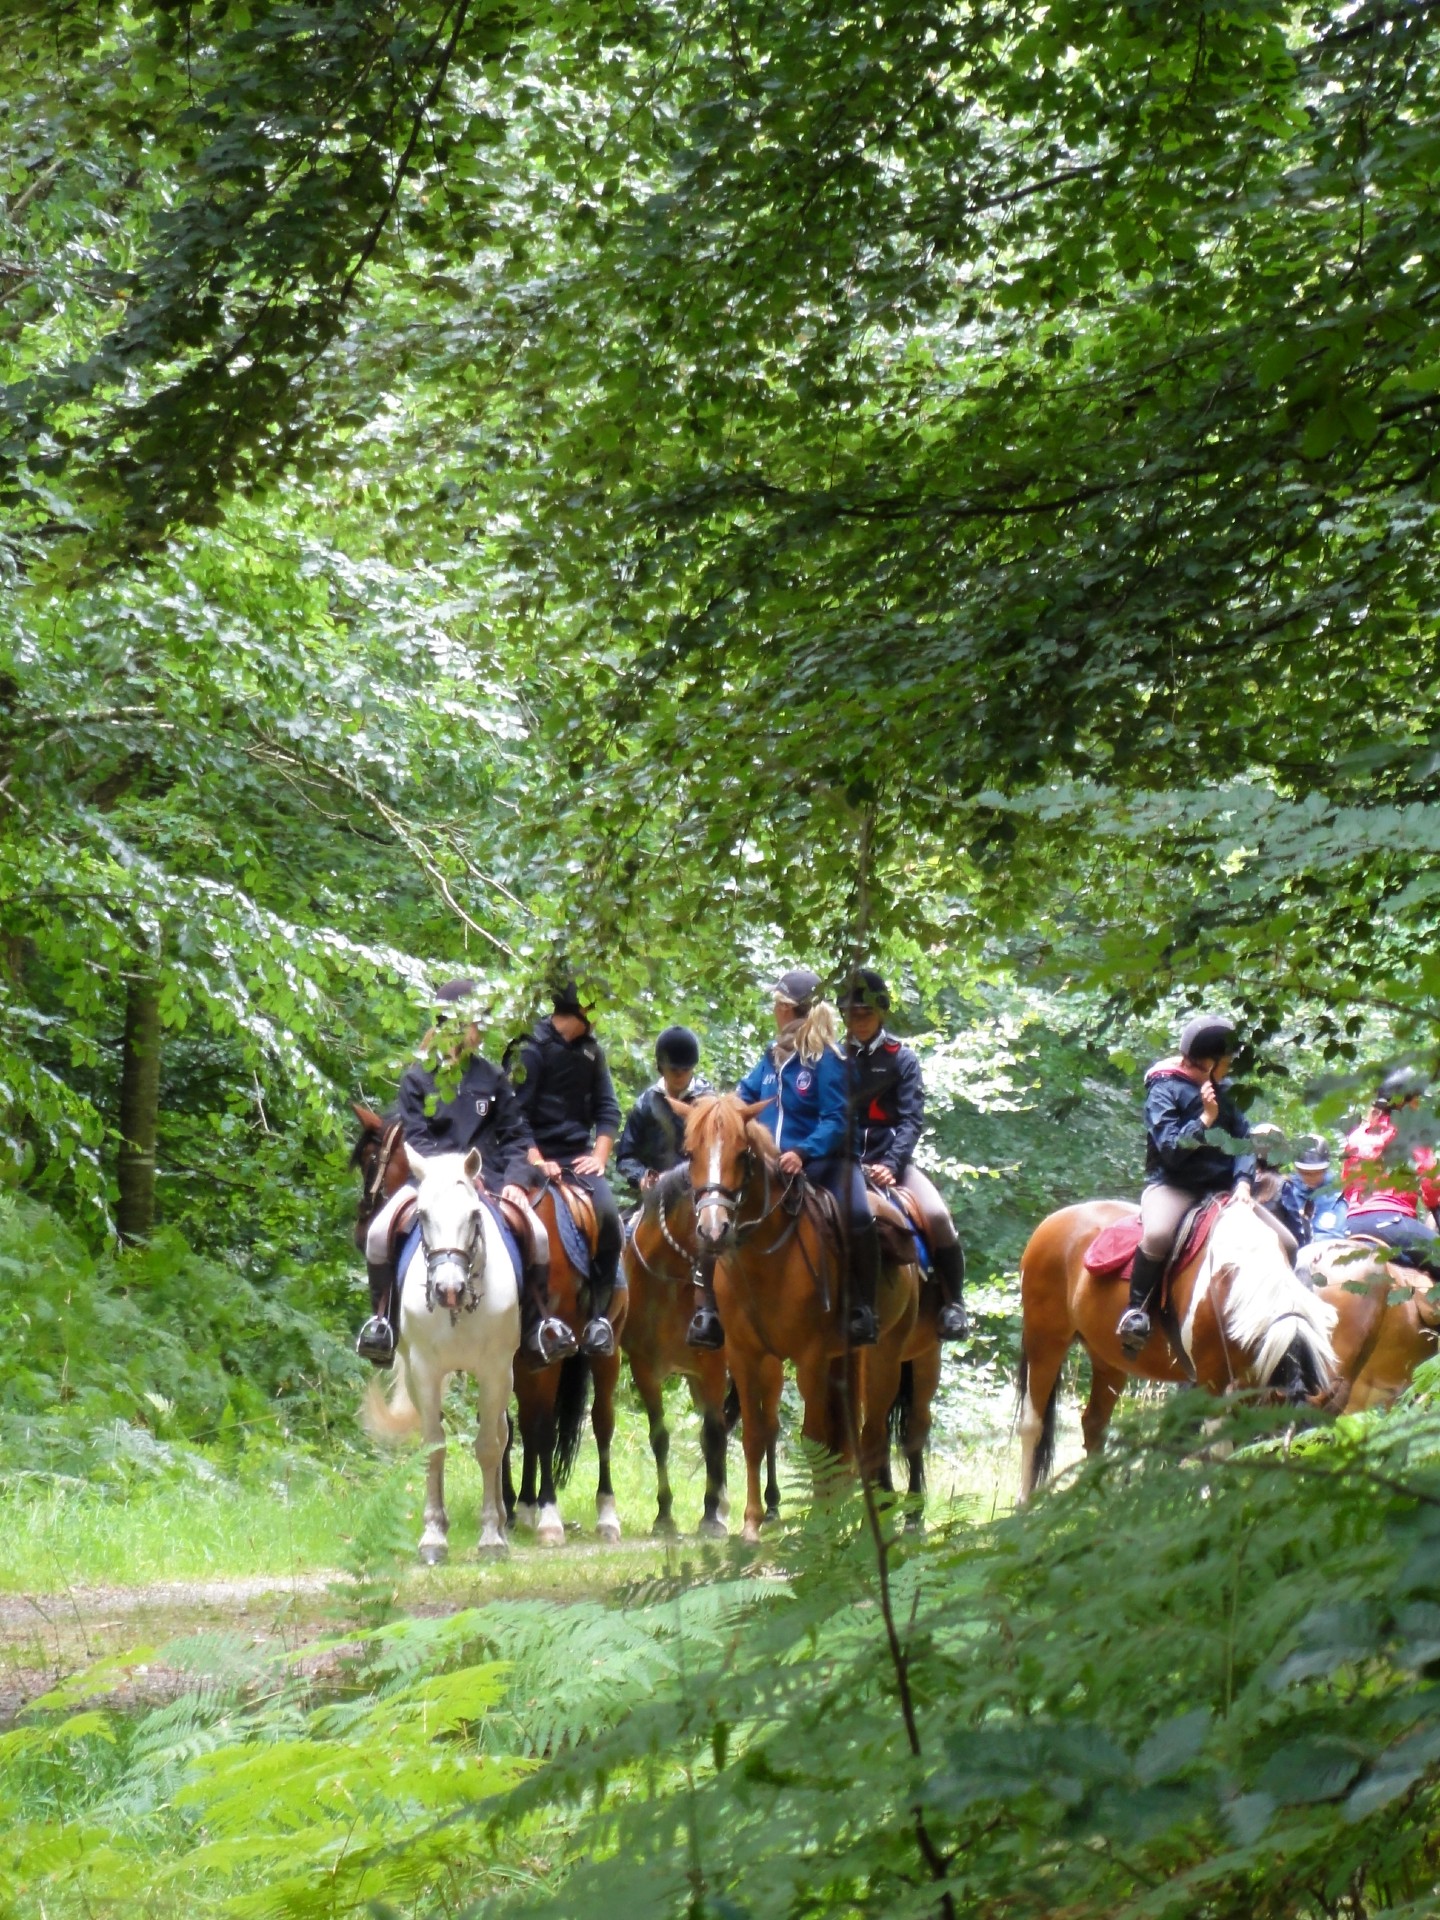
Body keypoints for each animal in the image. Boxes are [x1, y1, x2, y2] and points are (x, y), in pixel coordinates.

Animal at [351, 1113, 625, 1543]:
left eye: (369, 1161)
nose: (362, 1230)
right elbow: (504, 1429)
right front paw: (508, 1509)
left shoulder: (534, 1356)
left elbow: (540, 1429)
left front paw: (545, 1515)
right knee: (522, 1423)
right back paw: (523, 1505)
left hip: (603, 1350)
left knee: (599, 1422)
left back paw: (603, 1515)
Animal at [622, 1159, 779, 1536]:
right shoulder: (644, 1368)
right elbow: (660, 1438)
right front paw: (664, 1515)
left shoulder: (712, 1369)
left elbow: (713, 1435)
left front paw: (710, 1515)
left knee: (768, 1427)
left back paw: (770, 1508)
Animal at [679, 1098, 925, 1543]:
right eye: (690, 1153)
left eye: (742, 1154)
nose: (713, 1229)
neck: (764, 1258)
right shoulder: (745, 1356)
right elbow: (755, 1435)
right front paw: (752, 1524)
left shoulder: (809, 1357)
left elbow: (812, 1438)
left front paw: (816, 1526)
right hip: (845, 1358)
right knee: (847, 1438)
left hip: (885, 1355)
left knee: (872, 1436)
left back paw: (870, 1524)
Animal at [1013, 1198, 1344, 1497]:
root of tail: (1052, 1222)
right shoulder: (1212, 1382)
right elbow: (1218, 1450)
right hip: (1045, 1341)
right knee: (1033, 1425)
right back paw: (1024, 1506)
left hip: (1108, 1358)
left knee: (1095, 1424)